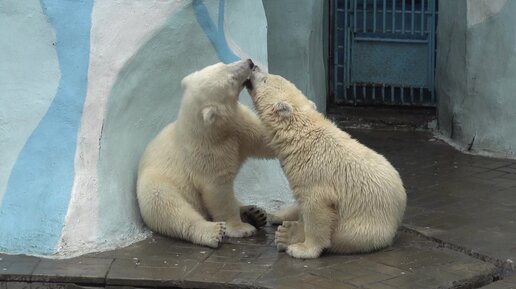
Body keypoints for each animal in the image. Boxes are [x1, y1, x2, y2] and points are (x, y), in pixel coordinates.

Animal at [137, 59, 274, 248]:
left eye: (223, 63)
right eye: (231, 80)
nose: (249, 62)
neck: (211, 130)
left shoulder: (239, 124)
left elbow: (264, 139)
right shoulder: (206, 153)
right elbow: (217, 190)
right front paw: (240, 229)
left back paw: (255, 212)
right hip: (156, 184)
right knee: (169, 207)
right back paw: (214, 231)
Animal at [246, 66, 408, 258]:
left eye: (265, 79)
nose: (254, 66)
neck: (301, 137)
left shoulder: (315, 172)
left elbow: (317, 206)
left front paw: (302, 249)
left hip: (365, 225)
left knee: (341, 237)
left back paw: (288, 234)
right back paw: (280, 214)